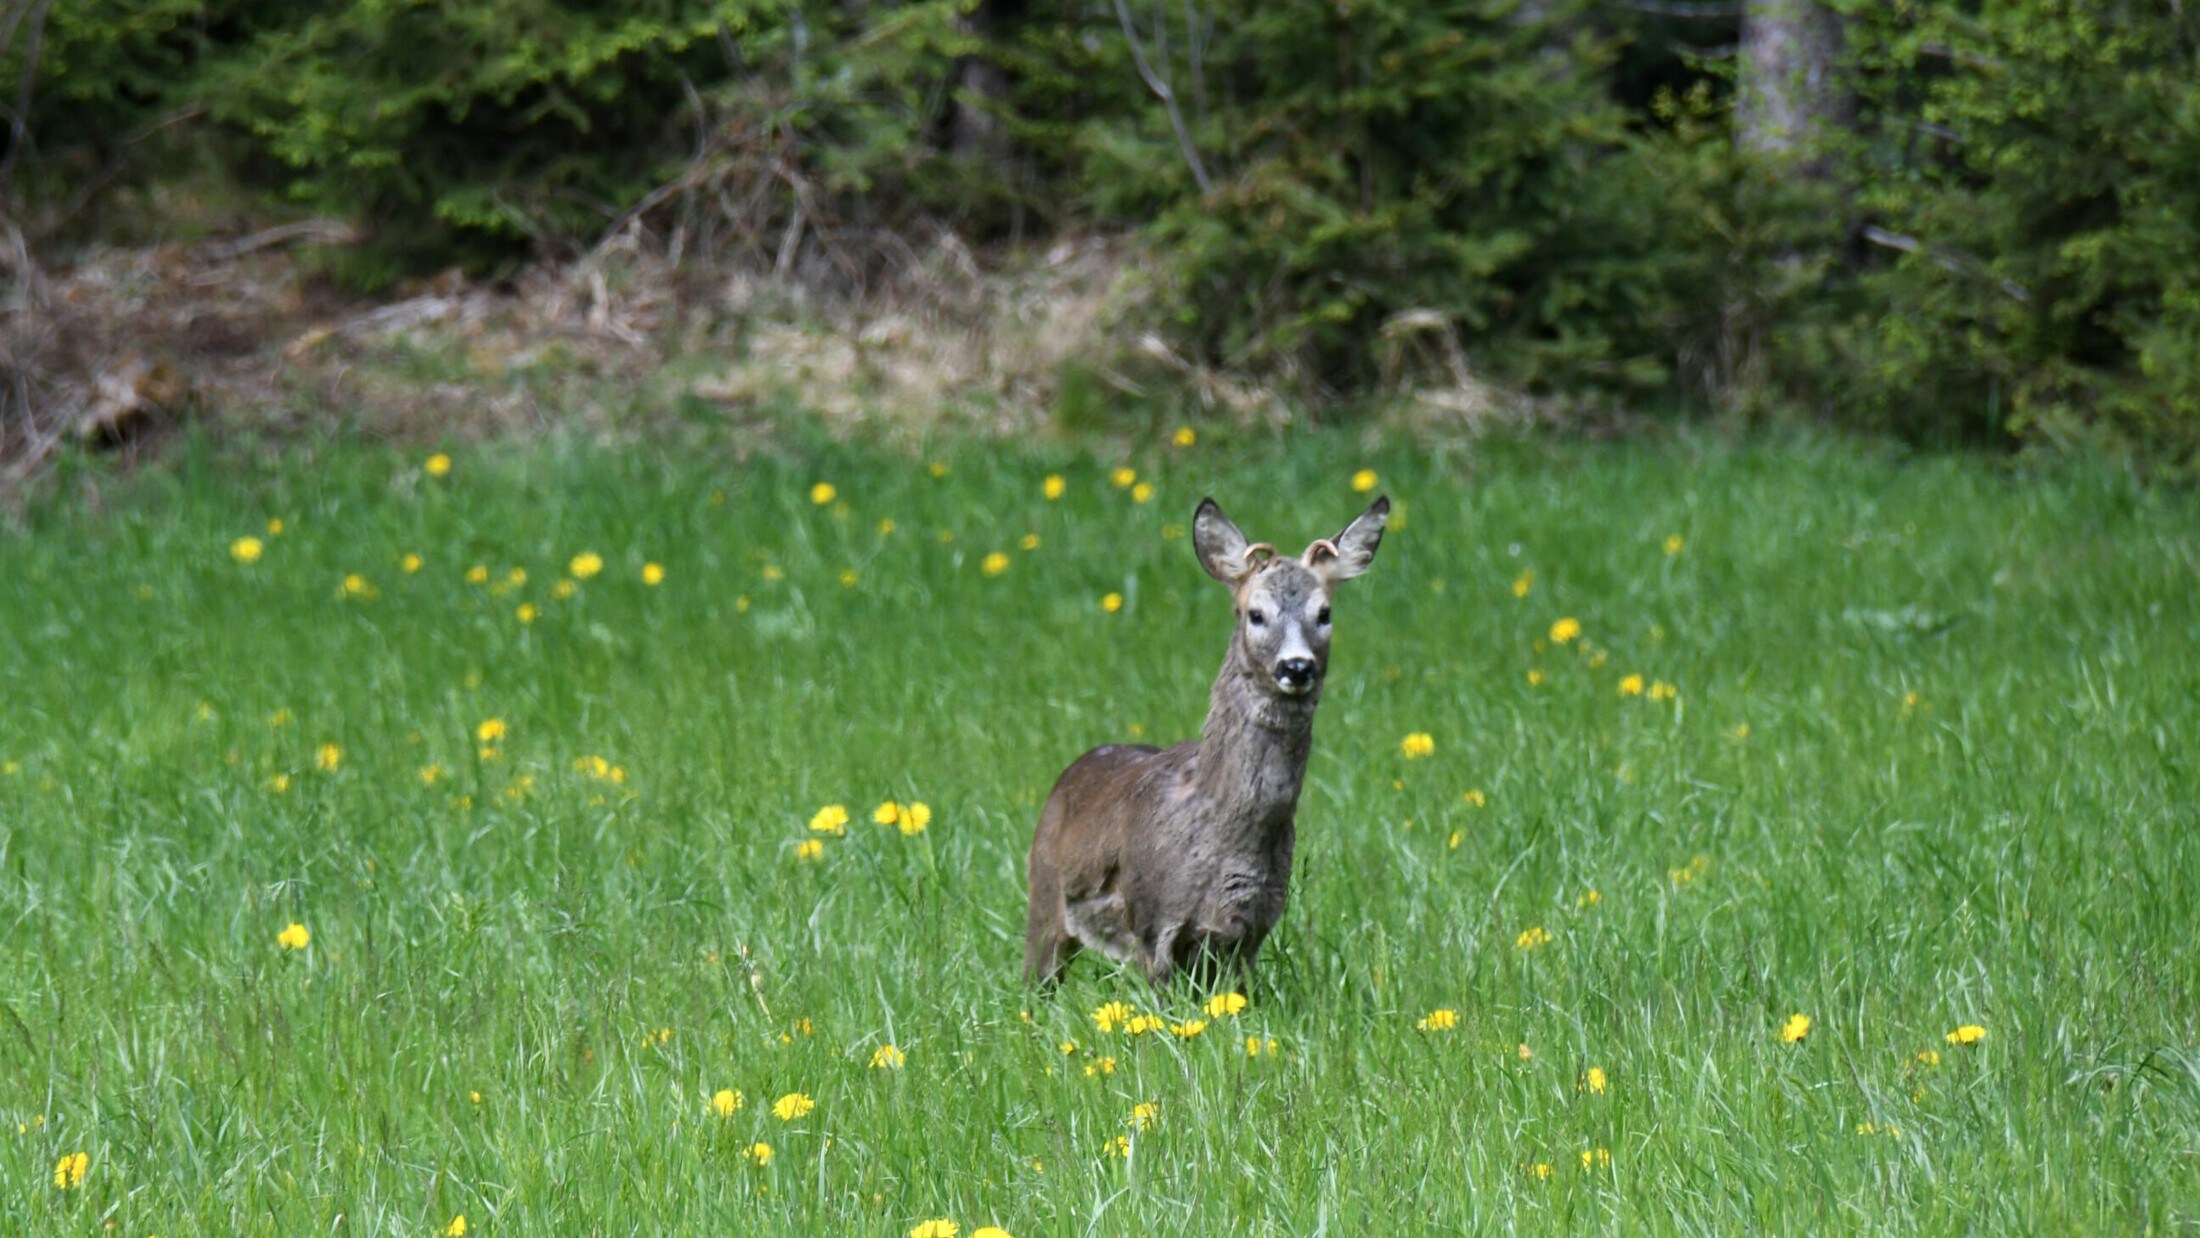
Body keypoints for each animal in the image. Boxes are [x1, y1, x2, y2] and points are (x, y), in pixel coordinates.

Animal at [1025, 494, 1390, 989]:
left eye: (1324, 614)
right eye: (1255, 614)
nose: (1296, 667)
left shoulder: (1250, 929)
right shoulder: (1152, 922)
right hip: (1044, 895)